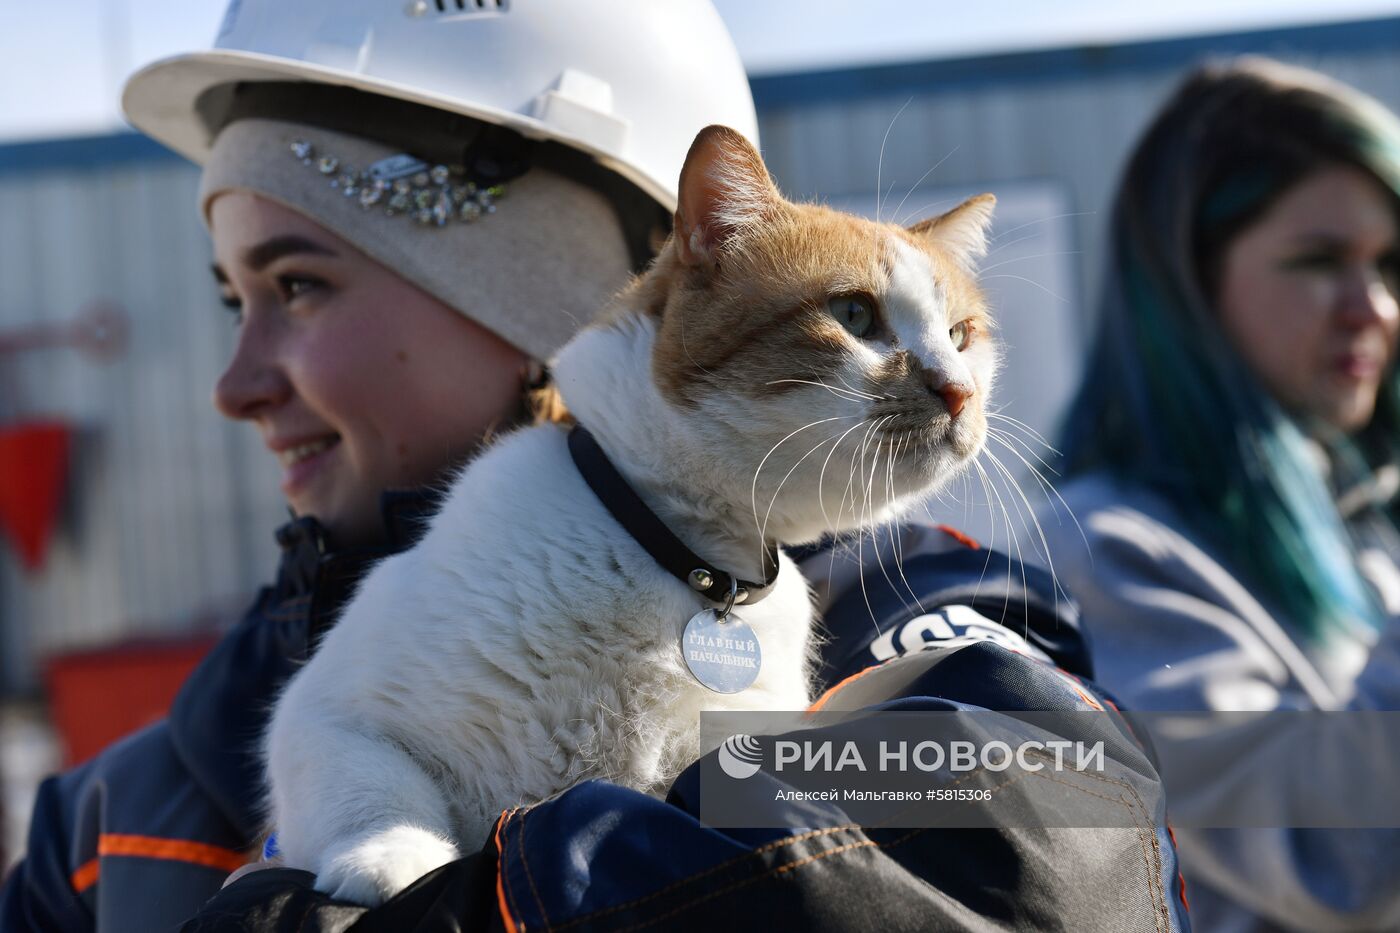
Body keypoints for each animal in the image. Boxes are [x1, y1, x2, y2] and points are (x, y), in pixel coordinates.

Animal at [263, 123, 1002, 902]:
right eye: (855, 315)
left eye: (960, 336)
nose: (959, 390)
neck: (689, 557)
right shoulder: (327, 713)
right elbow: (371, 783)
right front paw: (393, 858)